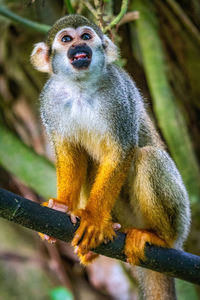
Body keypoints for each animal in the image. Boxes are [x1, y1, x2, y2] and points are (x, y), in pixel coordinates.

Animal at [30, 14, 190, 300]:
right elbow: (69, 152)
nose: (79, 48)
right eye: (66, 39)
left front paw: (94, 219)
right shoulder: (50, 100)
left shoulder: (118, 95)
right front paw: (63, 205)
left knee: (148, 157)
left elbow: (122, 150)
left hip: (180, 220)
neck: (80, 87)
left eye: (86, 36)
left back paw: (159, 238)